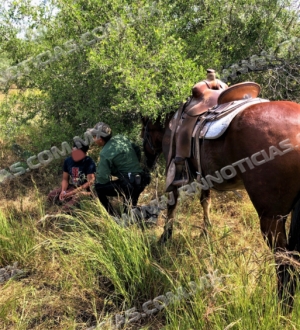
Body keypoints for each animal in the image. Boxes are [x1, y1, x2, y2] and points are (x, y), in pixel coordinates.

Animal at [142, 100, 300, 312]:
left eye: (143, 135)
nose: (146, 164)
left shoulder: (172, 173)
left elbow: (172, 204)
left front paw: (165, 236)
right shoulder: (204, 176)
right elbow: (205, 200)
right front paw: (206, 230)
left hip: (271, 219)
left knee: (285, 266)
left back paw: (281, 308)